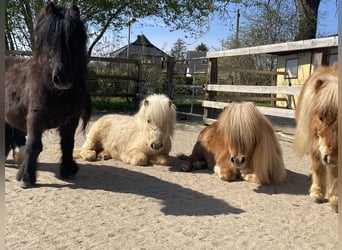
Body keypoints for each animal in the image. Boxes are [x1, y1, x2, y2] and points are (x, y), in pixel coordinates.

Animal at [5, 2, 91, 188]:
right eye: (48, 39)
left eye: (75, 39)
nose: (63, 78)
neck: (55, 92)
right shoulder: (35, 117)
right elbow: (34, 145)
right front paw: (26, 177)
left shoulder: (71, 120)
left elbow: (68, 144)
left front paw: (68, 169)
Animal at [294, 63, 340, 212]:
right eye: (321, 117)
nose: (332, 159)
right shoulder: (314, 146)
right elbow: (318, 169)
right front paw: (317, 194)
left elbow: (336, 175)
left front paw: (335, 200)